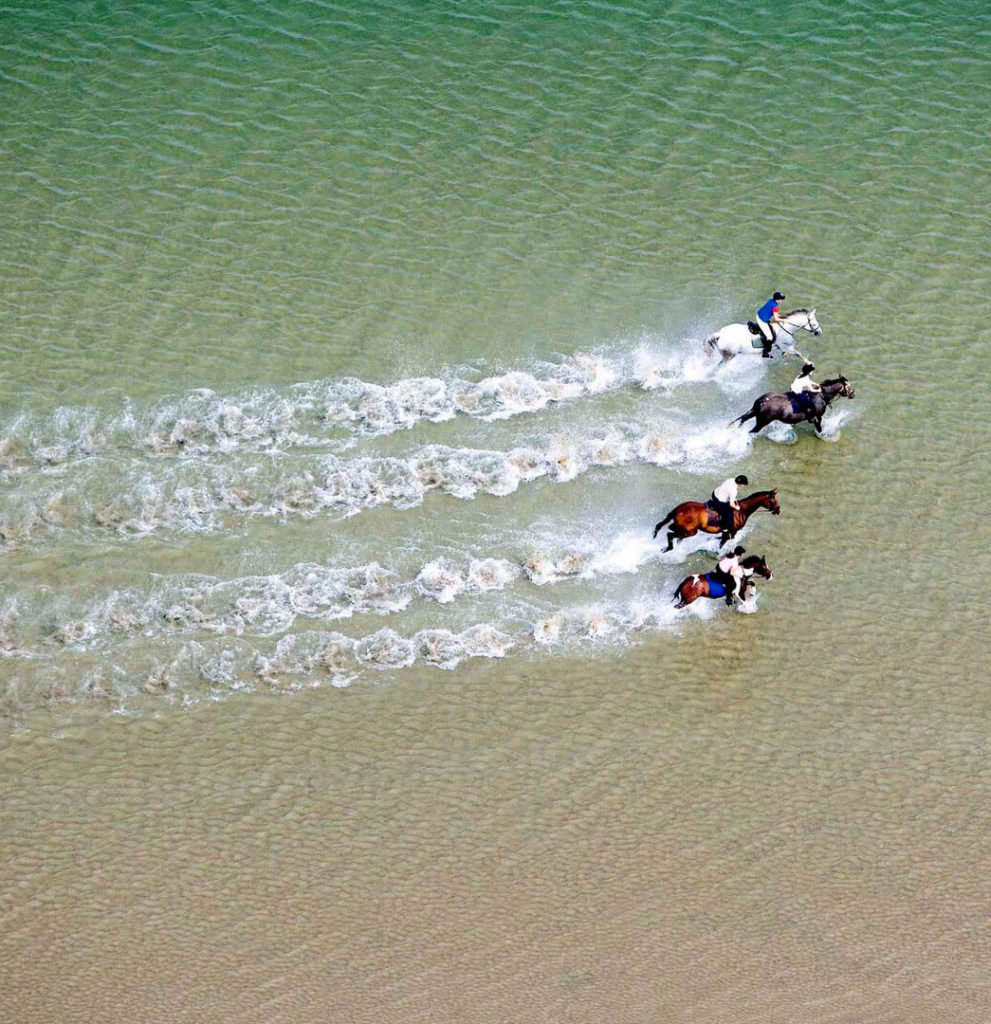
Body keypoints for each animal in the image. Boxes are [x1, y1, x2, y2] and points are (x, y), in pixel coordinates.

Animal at [652, 489, 780, 552]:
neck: (741, 511)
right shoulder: (732, 531)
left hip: (686, 530)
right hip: (691, 531)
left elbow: (721, 539)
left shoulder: (727, 532)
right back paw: (669, 547)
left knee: (672, 531)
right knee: (670, 533)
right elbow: (723, 542)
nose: (778, 510)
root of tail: (677, 510)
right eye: (773, 500)